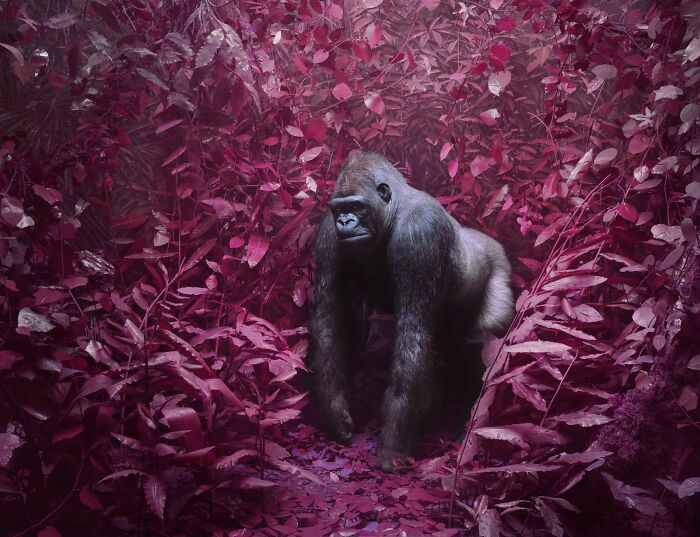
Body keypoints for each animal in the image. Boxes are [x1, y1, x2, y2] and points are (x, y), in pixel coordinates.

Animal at [307, 152, 514, 471]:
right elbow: (329, 318)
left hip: (499, 266)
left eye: (357, 207)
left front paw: (393, 444)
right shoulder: (327, 234)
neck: (394, 208)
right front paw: (334, 411)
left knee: (482, 345)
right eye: (340, 209)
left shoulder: (420, 233)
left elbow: (412, 335)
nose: (345, 221)